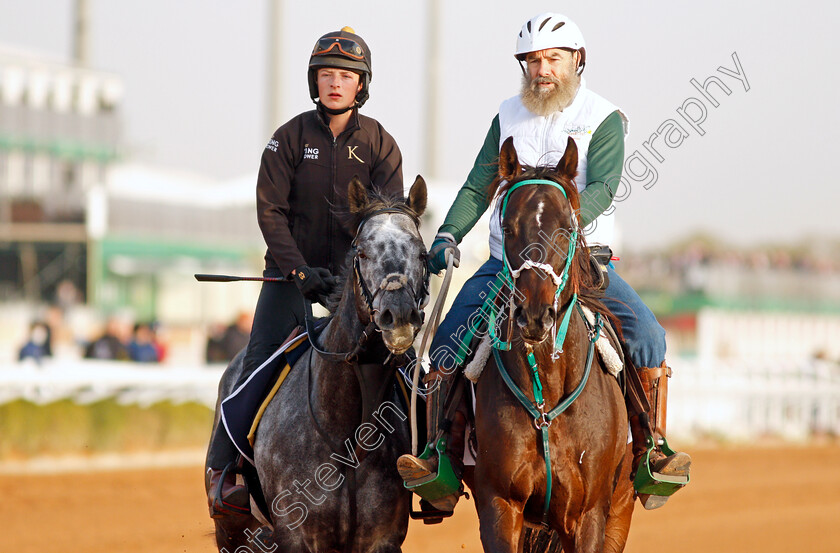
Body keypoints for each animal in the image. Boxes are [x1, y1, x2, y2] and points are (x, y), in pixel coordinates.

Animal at [472, 136, 636, 548]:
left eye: (564, 228)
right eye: (507, 228)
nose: (534, 314)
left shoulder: (590, 514)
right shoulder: (500, 505)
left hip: (621, 508)